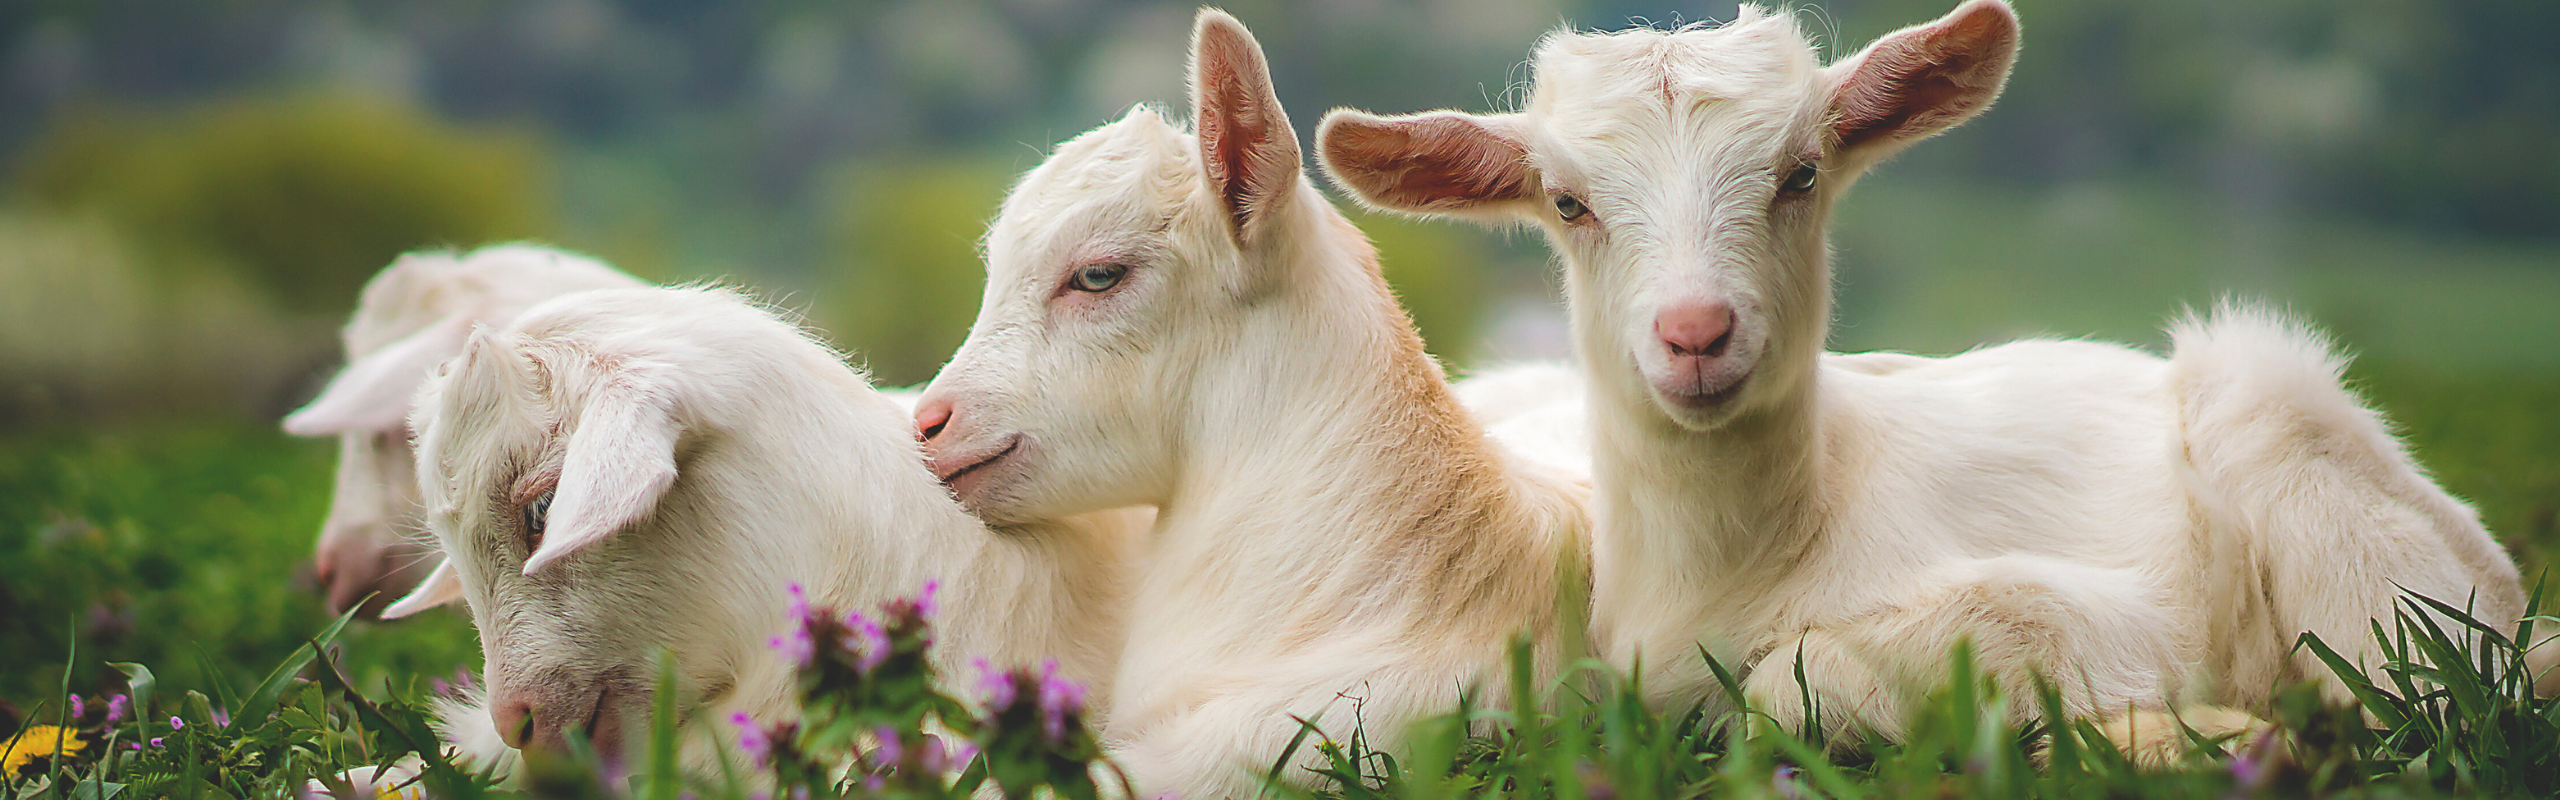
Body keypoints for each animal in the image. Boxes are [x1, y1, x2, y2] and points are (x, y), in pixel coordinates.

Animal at [1317, 0, 2550, 753]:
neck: (1749, 560)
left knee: (2430, 688)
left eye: (1800, 173)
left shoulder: (2117, 613)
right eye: (1568, 204)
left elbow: (1811, 672)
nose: (1694, 332)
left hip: (2311, 465)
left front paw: (2190, 727)